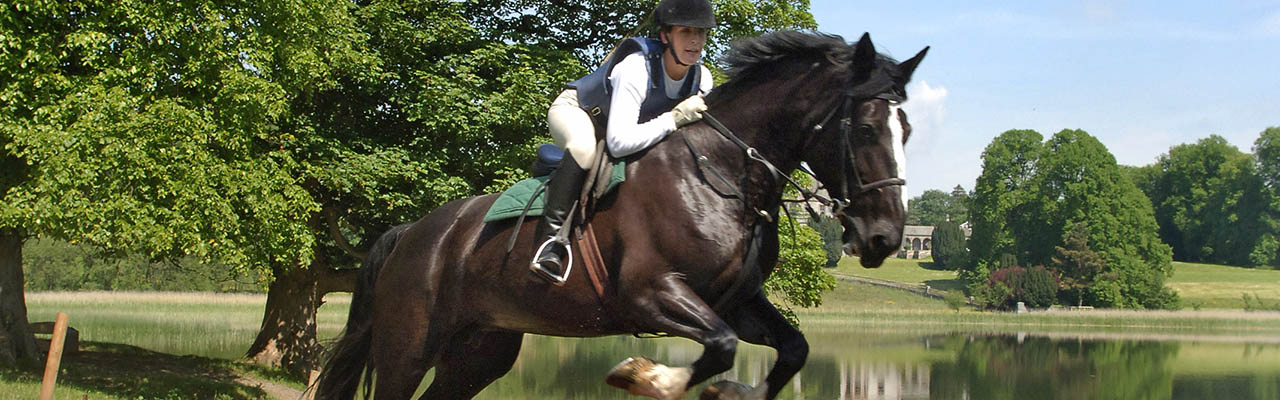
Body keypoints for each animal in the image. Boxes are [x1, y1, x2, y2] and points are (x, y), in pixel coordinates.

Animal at [314, 32, 926, 400]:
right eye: (865, 130)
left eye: (909, 131)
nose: (885, 239)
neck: (724, 172)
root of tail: (412, 234)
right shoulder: (648, 292)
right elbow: (720, 346)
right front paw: (648, 376)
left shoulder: (737, 299)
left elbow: (791, 348)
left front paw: (731, 391)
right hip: (407, 347)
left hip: (480, 350)